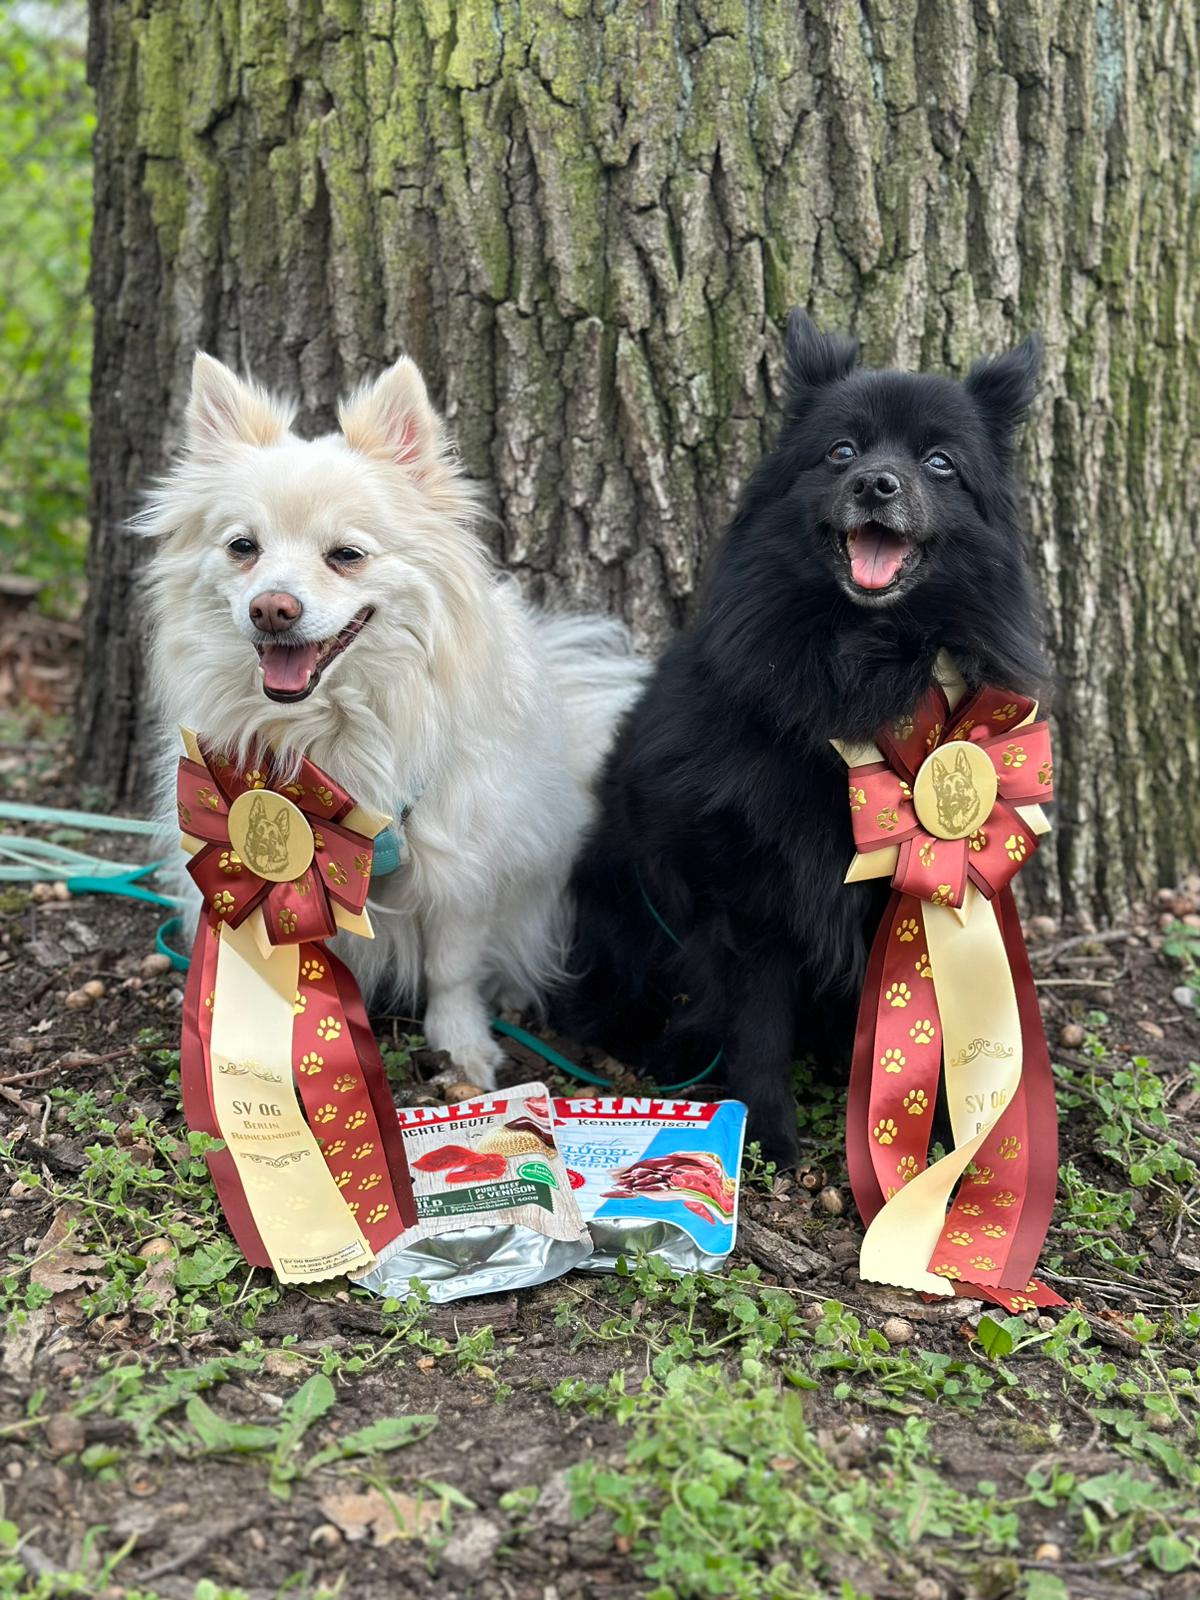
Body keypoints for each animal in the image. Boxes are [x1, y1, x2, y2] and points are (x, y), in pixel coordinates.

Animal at [140, 351, 645, 1085]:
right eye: (243, 547)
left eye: (346, 555)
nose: (272, 608)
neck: (331, 726)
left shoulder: (460, 862)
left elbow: (452, 968)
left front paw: (463, 1047)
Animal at [559, 312, 1048, 1166]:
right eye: (842, 452)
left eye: (940, 463)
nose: (877, 483)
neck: (860, 661)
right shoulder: (749, 888)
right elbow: (757, 1023)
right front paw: (766, 1135)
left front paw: (941, 1129)